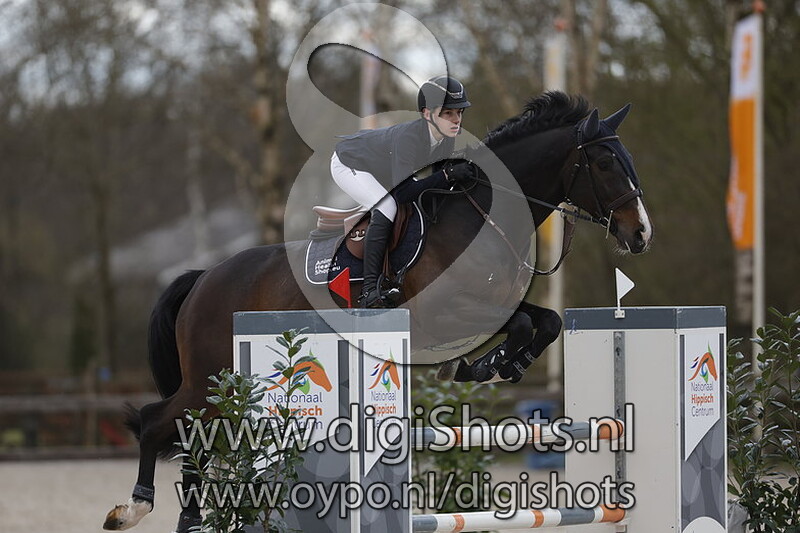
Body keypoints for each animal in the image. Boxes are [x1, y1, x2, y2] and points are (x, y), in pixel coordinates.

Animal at [103, 92, 653, 531]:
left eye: (629, 159)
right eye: (605, 163)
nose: (641, 234)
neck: (479, 216)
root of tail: (204, 277)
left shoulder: (492, 304)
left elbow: (547, 321)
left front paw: (500, 364)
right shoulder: (445, 312)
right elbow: (519, 323)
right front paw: (484, 365)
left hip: (221, 388)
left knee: (193, 434)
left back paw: (189, 519)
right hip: (212, 376)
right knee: (158, 421)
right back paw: (132, 509)